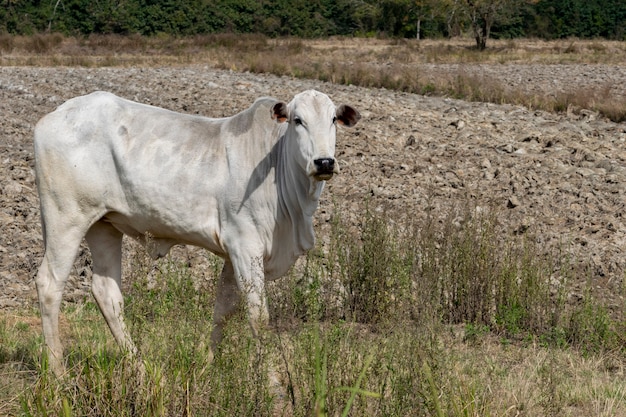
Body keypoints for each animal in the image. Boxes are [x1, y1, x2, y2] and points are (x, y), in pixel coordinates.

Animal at [33, 88, 356, 374]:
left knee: (107, 293)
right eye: (297, 120)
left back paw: (142, 369)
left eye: (332, 119)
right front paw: (272, 381)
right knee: (49, 284)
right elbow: (258, 317)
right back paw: (59, 373)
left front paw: (207, 364)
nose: (324, 162)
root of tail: (51, 116)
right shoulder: (245, 246)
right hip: (66, 217)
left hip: (104, 225)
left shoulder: (233, 255)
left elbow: (222, 310)